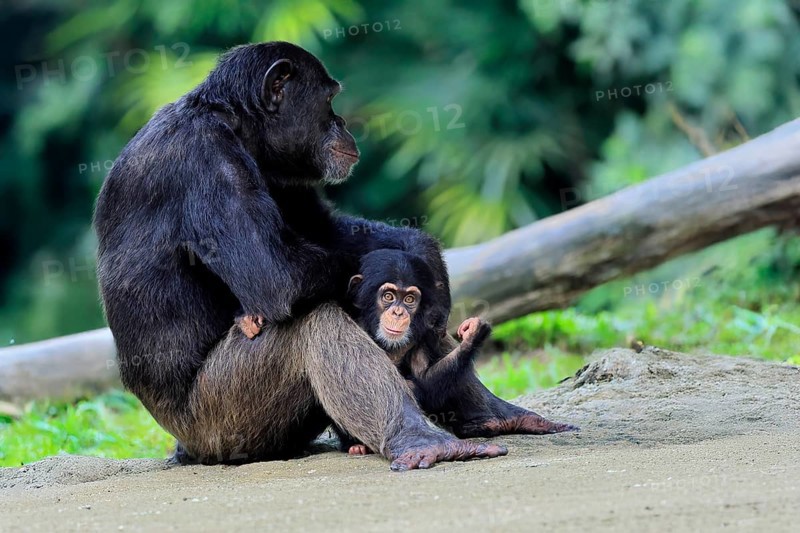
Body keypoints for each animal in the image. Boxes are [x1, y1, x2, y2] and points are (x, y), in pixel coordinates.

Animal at [94, 41, 512, 471]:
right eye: (328, 100)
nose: (341, 120)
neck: (234, 124)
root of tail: (185, 448)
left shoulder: (282, 171)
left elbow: (326, 229)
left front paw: (425, 255)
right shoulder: (207, 160)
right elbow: (276, 275)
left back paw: (499, 415)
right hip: (222, 419)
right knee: (315, 321)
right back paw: (422, 440)